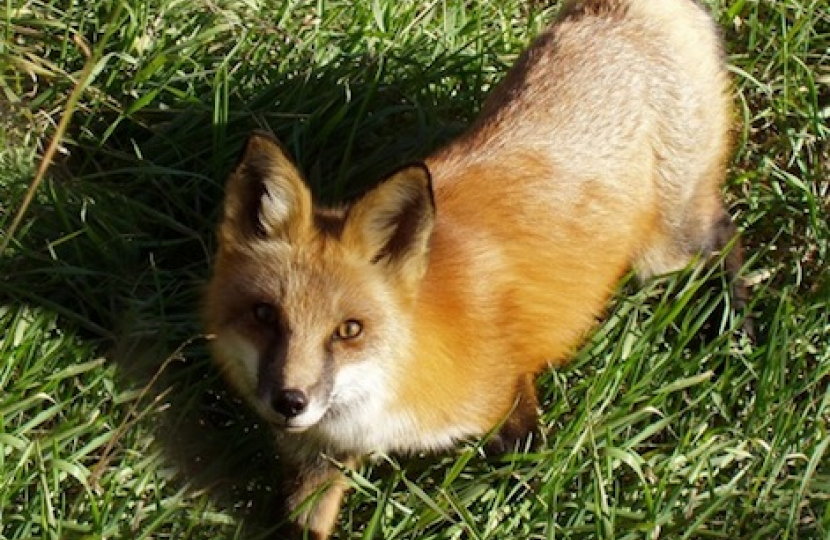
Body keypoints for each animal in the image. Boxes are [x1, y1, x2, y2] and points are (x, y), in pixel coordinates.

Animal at [205, 0, 751, 537]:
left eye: (349, 330)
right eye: (264, 315)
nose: (289, 402)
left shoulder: (507, 393)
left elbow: (526, 472)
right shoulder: (316, 459)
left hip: (668, 248)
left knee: (727, 237)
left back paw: (736, 329)